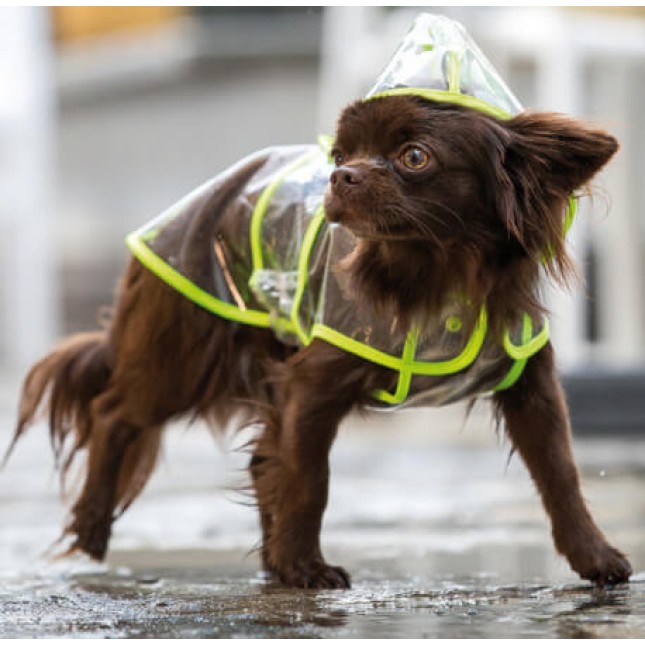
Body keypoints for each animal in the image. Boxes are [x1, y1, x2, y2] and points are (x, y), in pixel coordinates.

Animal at [5, 95, 628, 588]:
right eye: (341, 155)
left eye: (415, 156)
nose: (342, 176)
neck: (433, 274)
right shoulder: (311, 386)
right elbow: (310, 479)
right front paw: (306, 568)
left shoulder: (531, 386)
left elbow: (560, 472)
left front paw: (594, 556)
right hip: (180, 354)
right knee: (113, 413)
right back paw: (93, 530)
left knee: (261, 457)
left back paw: (270, 560)